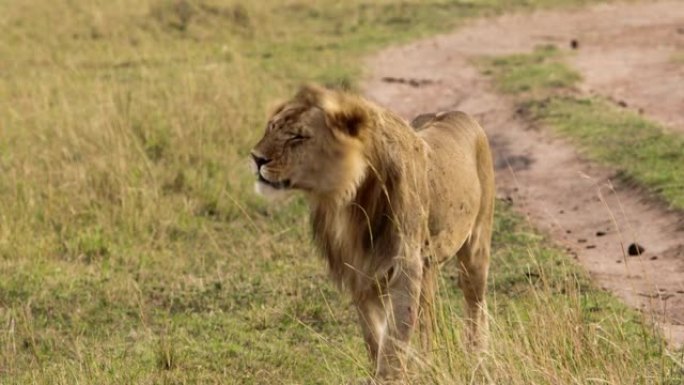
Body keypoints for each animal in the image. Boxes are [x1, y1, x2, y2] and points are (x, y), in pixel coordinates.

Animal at [248, 84, 494, 380]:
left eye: (298, 136)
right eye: (271, 127)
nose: (256, 158)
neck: (347, 200)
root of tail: (461, 114)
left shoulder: (404, 269)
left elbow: (394, 342)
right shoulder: (360, 273)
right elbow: (374, 338)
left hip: (475, 248)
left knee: (475, 308)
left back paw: (478, 359)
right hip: (429, 267)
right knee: (429, 319)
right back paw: (429, 364)